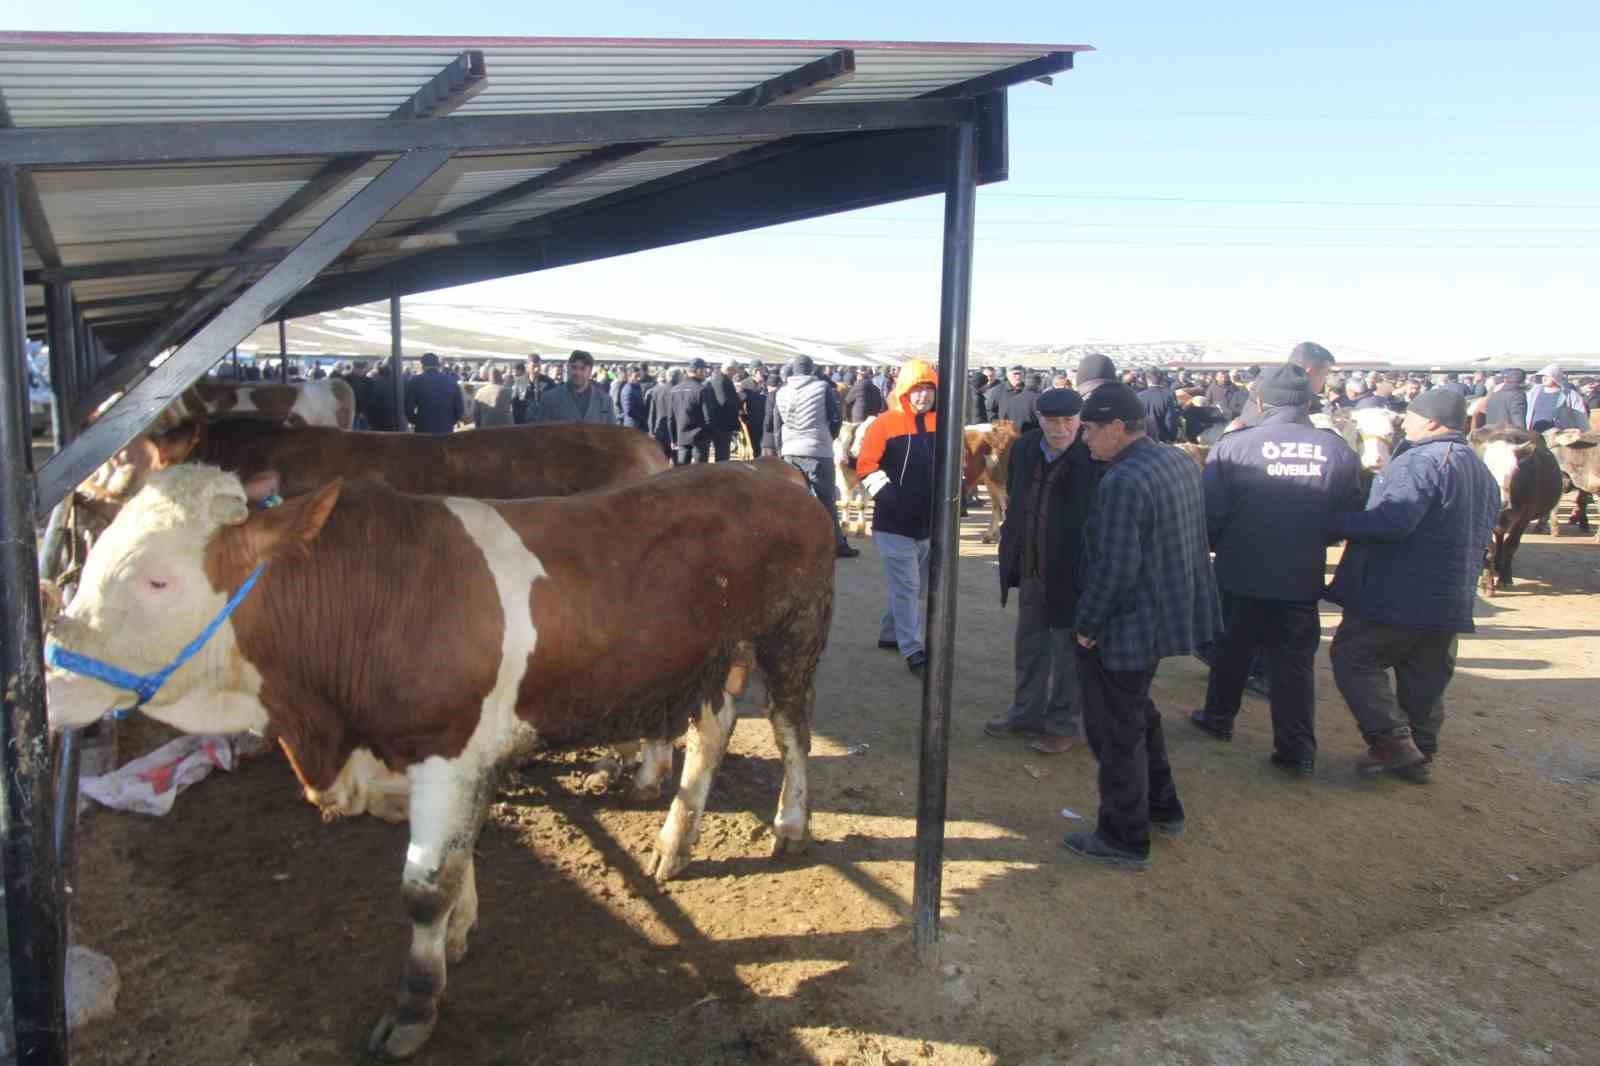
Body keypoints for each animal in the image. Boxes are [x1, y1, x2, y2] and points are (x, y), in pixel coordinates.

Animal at [46, 460, 838, 1056]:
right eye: (96, 554)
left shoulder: (448, 753)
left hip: (792, 635)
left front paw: (415, 1008)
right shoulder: (437, 764)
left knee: (791, 727)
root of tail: (767, 467)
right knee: (713, 728)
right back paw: (675, 841)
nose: (50, 677)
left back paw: (789, 825)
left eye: (157, 579)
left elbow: (424, 885)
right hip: (707, 658)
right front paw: (460, 931)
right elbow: (460, 860)